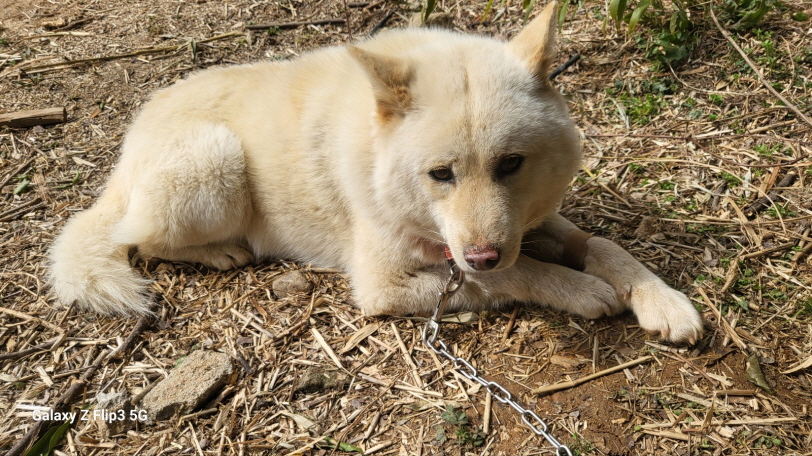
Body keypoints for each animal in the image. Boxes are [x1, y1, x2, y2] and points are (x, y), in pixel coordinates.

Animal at [46, 2, 704, 342]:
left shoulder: (526, 223)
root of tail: (127, 149)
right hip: (216, 161)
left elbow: (604, 245)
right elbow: (515, 277)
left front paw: (661, 300)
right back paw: (219, 252)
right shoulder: (383, 287)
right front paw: (581, 291)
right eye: (441, 174)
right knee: (141, 241)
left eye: (511, 164)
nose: (482, 252)